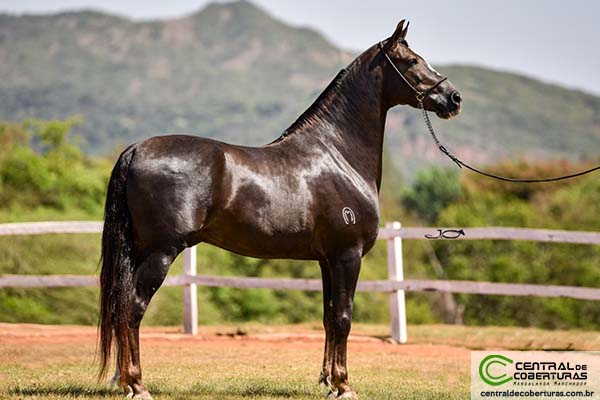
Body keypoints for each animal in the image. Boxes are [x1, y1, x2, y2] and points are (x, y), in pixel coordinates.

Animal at [101, 19, 462, 400]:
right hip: (161, 251)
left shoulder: (327, 260)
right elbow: (344, 317)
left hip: (140, 250)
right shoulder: (348, 255)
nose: (454, 98)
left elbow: (329, 316)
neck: (337, 154)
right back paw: (137, 384)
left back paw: (124, 380)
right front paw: (344, 384)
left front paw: (328, 381)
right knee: (133, 308)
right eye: (411, 61)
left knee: (121, 306)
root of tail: (136, 149)